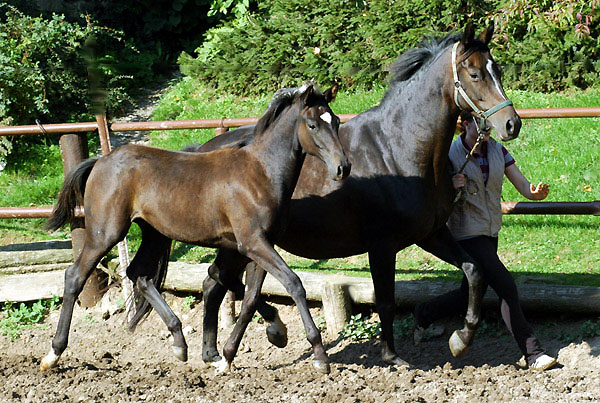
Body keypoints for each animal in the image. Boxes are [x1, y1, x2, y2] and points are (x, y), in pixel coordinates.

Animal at [42, 83, 350, 376]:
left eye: (335, 121)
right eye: (312, 124)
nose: (342, 167)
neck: (261, 172)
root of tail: (100, 161)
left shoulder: (261, 245)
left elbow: (250, 297)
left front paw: (271, 335)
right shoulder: (253, 243)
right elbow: (293, 283)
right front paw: (320, 357)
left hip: (154, 234)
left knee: (139, 273)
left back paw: (180, 342)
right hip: (106, 233)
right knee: (75, 276)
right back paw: (53, 354)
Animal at [191, 22, 520, 370]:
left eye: (497, 69)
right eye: (475, 74)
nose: (512, 124)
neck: (398, 148)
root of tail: (203, 150)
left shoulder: (431, 234)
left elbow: (474, 271)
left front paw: (460, 340)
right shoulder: (382, 245)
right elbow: (385, 301)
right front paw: (392, 356)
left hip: (243, 246)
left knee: (217, 284)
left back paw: (216, 352)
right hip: (241, 244)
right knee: (220, 282)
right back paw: (255, 337)